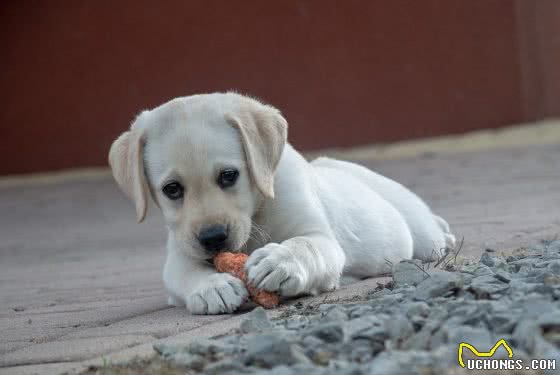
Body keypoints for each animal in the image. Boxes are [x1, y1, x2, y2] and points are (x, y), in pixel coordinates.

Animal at [109, 92, 456, 316]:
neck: (257, 213)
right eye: (172, 189)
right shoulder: (179, 253)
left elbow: (304, 245)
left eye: (229, 176)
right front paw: (211, 287)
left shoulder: (321, 238)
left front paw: (279, 261)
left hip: (420, 232)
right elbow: (184, 273)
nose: (213, 238)